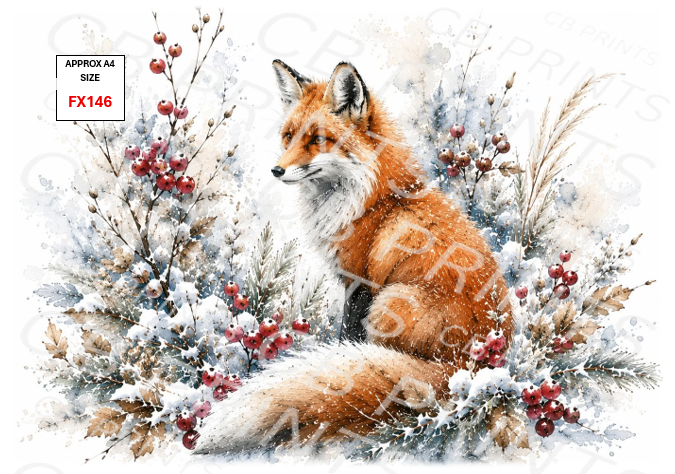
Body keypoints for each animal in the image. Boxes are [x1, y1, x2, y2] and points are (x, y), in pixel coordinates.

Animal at [196, 60, 512, 454]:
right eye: (288, 136)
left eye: (317, 139)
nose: (277, 170)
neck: (375, 200)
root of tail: (479, 366)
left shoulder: (359, 283)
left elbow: (347, 336)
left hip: (390, 304)